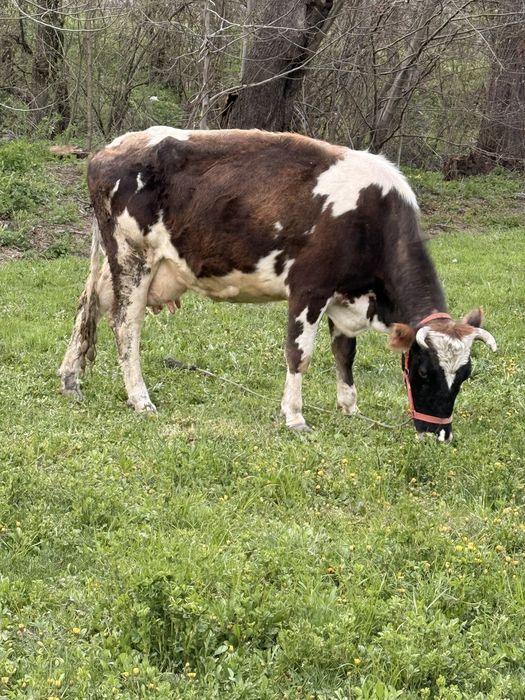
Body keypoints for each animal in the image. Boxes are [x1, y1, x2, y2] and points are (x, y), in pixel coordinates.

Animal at [59, 126, 497, 441]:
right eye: (422, 371)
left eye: (465, 375)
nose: (438, 435)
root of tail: (110, 148)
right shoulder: (309, 289)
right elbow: (299, 354)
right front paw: (295, 418)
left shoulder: (343, 296)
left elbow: (345, 354)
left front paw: (350, 408)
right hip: (133, 257)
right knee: (124, 325)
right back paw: (140, 398)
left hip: (117, 264)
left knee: (87, 306)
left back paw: (70, 379)